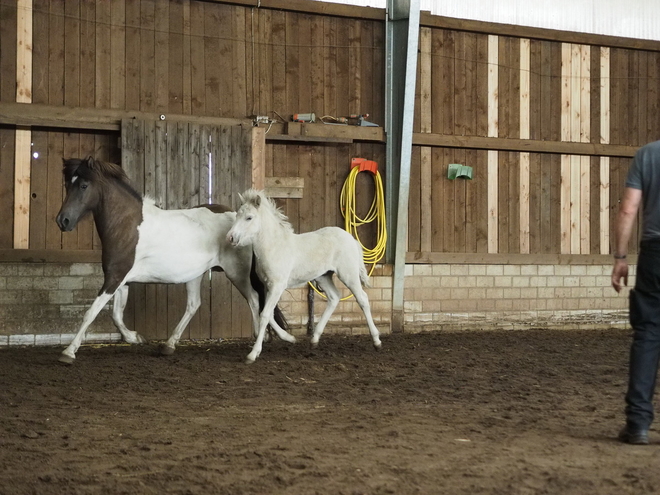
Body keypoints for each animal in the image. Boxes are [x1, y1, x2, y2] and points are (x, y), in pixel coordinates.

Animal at [55, 158, 292, 364]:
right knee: (194, 305)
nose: (62, 221)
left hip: (237, 273)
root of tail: (236, 221)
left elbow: (91, 313)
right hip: (196, 275)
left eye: (84, 185)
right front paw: (135, 337)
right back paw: (169, 345)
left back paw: (256, 343)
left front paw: (68, 352)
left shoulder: (115, 277)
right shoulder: (121, 280)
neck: (127, 225)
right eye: (67, 184)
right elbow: (116, 315)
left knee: (254, 299)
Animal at [227, 190, 382, 364]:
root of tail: (352, 239)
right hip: (323, 276)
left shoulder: (277, 286)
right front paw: (290, 338)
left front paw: (253, 354)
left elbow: (265, 315)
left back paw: (377, 341)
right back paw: (314, 339)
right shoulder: (268, 286)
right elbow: (268, 314)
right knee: (334, 297)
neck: (274, 247)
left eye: (249, 217)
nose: (230, 237)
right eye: (237, 215)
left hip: (349, 275)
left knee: (363, 299)